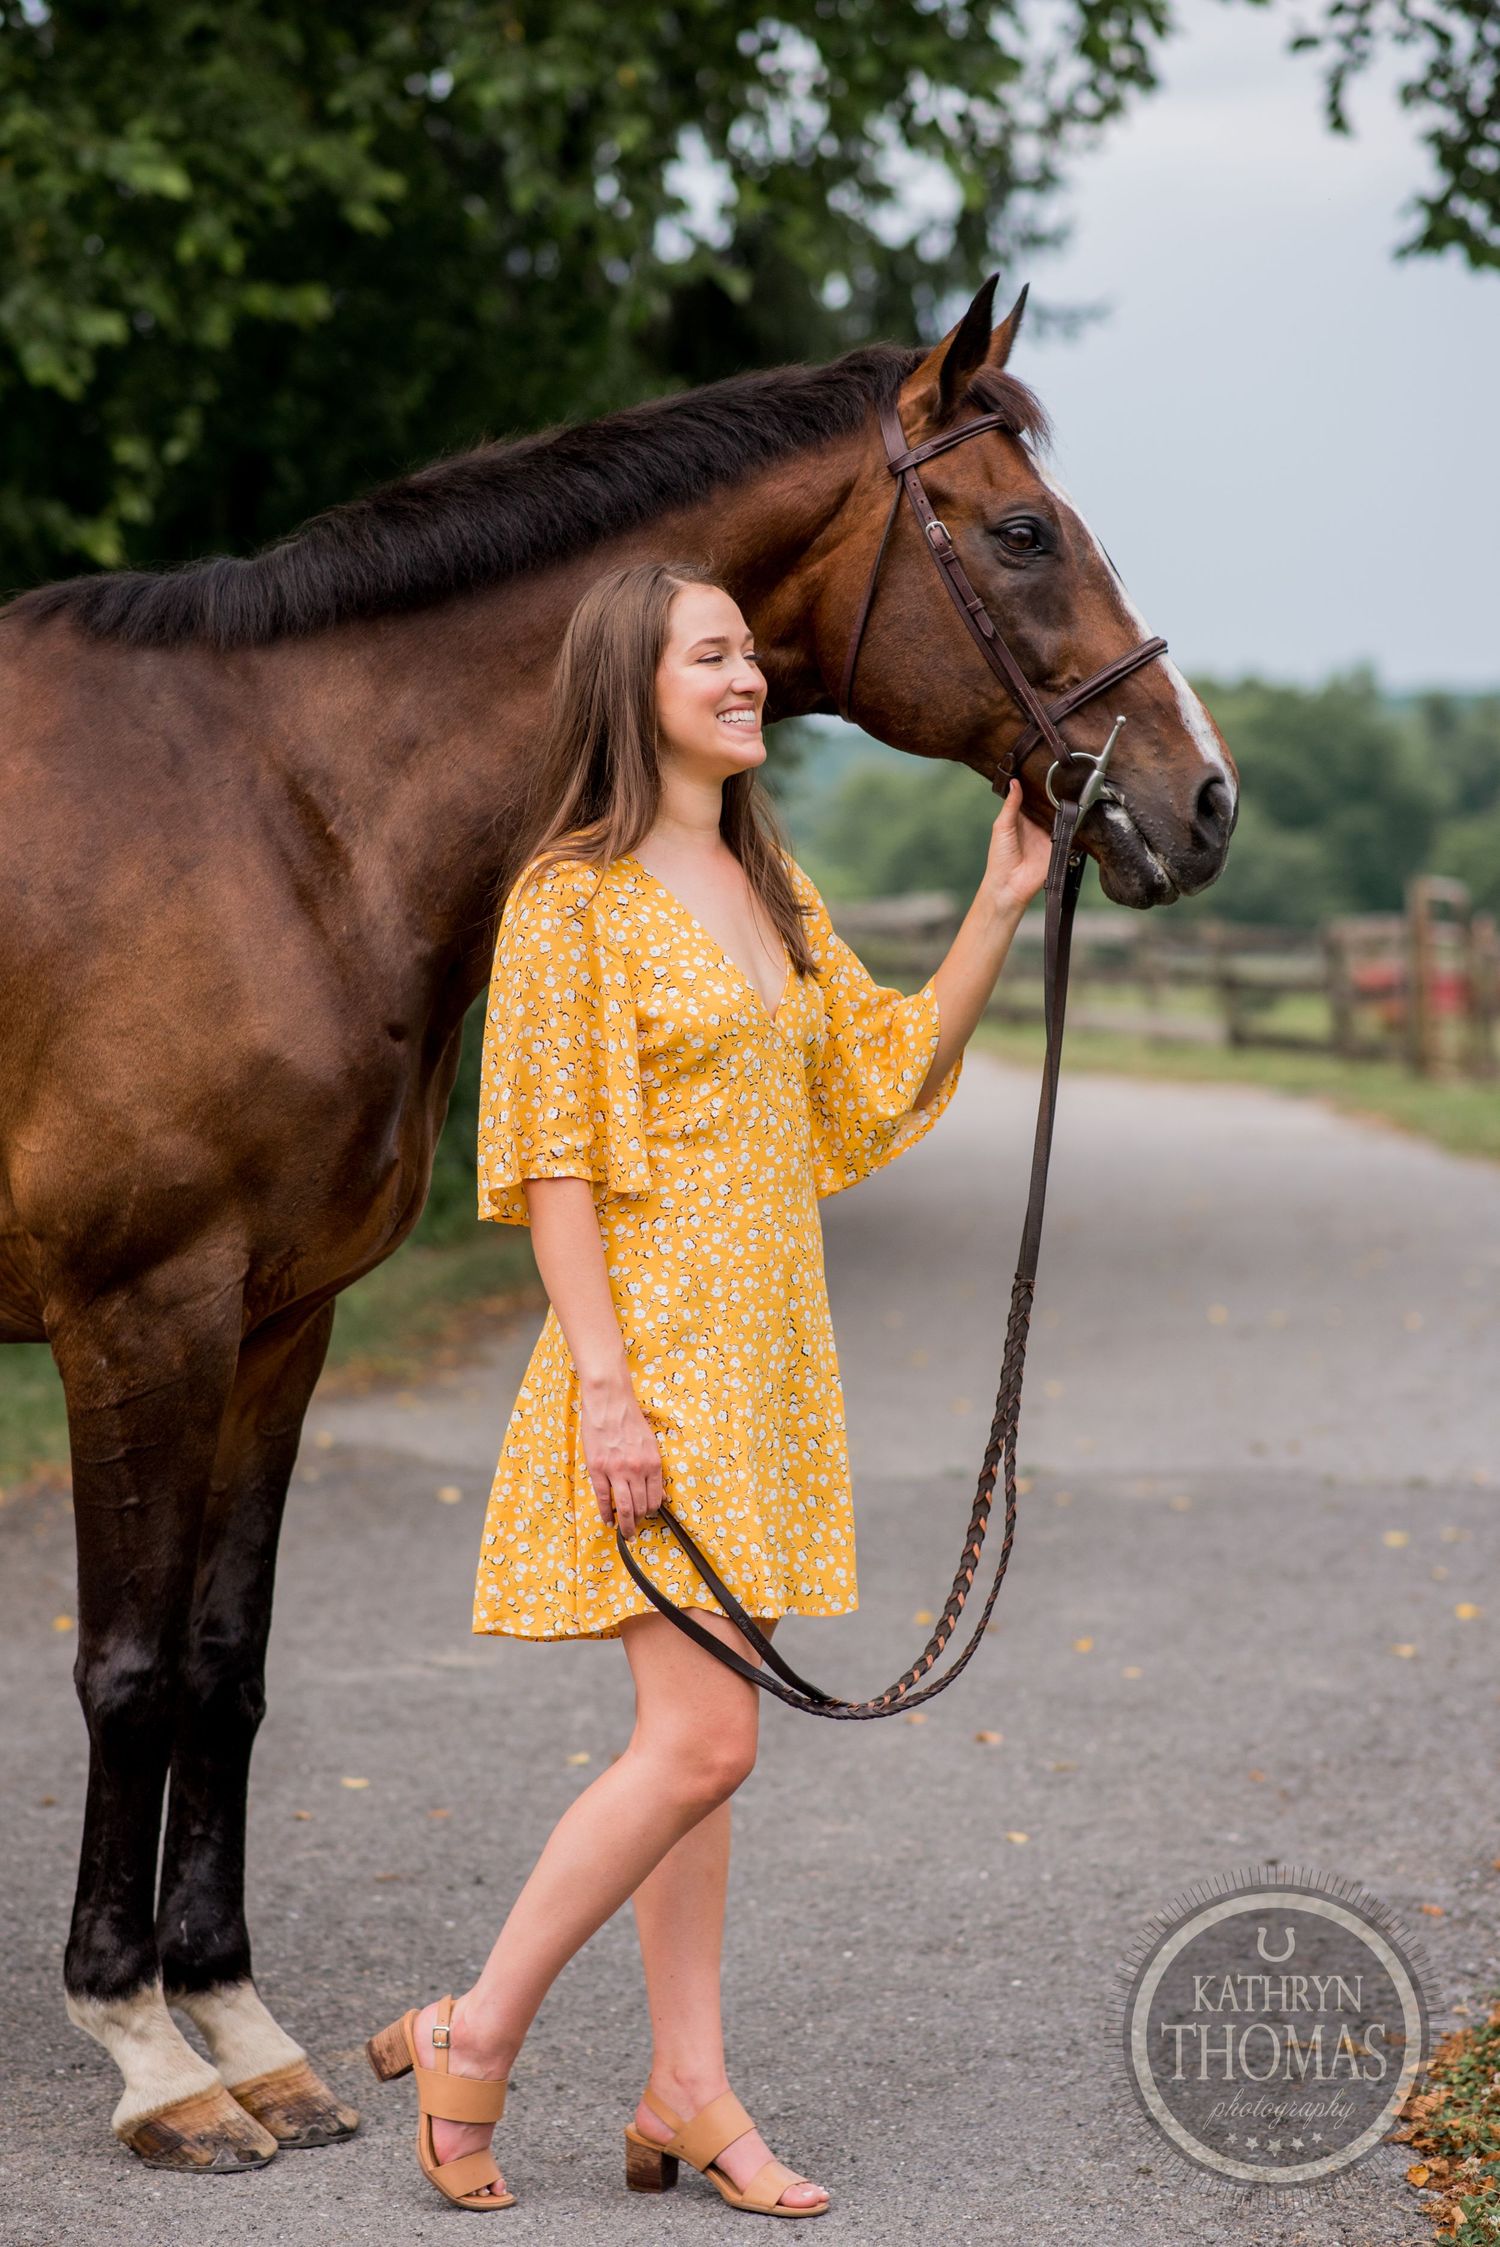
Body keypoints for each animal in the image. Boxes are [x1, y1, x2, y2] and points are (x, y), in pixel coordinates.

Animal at [0, 275, 1237, 2169]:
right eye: (1022, 531)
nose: (1204, 798)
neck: (275, 818)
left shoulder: (279, 1319)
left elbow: (225, 1659)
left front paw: (240, 2024)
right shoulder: (139, 1315)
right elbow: (130, 1669)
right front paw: (149, 2053)